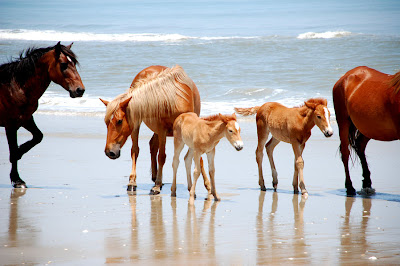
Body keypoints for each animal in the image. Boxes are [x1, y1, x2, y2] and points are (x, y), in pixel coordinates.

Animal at [0, 41, 85, 188]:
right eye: (63, 64)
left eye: (74, 63)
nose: (80, 90)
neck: (14, 87)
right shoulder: (10, 124)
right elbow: (13, 151)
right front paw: (17, 180)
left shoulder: (26, 119)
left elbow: (38, 137)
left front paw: (21, 150)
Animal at [99, 64, 200, 193]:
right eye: (106, 122)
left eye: (119, 121)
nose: (109, 152)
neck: (174, 101)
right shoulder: (162, 131)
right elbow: (162, 156)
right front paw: (157, 185)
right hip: (138, 125)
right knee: (136, 150)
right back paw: (134, 181)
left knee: (152, 146)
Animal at [332, 66, 400, 195]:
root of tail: (345, 76)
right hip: (343, 122)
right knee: (345, 153)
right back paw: (350, 187)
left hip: (368, 127)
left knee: (360, 145)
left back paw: (367, 183)